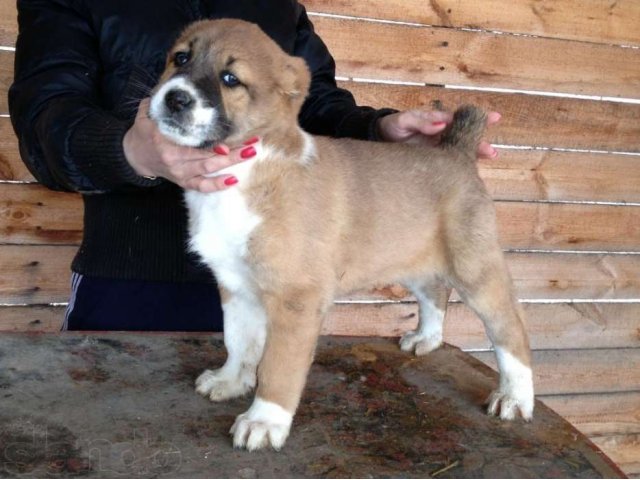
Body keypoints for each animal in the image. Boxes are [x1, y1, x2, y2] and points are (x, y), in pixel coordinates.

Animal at [150, 18, 536, 452]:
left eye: (230, 79)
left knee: (510, 328)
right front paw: (231, 380)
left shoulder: (297, 301)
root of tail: (456, 151)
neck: (246, 172)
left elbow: (278, 366)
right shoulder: (235, 284)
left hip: (475, 269)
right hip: (414, 258)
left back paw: (515, 397)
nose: (175, 99)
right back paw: (427, 339)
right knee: (436, 293)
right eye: (181, 58)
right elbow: (238, 341)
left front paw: (264, 420)